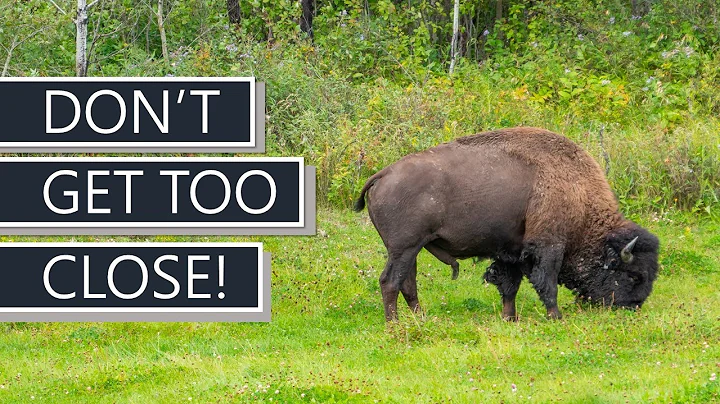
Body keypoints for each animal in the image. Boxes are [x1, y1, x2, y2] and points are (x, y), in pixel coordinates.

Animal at [353, 127, 659, 321]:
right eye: (633, 275)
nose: (633, 307)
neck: (578, 193)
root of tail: (382, 175)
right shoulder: (549, 245)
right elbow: (546, 283)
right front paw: (556, 317)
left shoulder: (511, 250)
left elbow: (510, 286)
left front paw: (509, 318)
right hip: (404, 248)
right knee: (390, 281)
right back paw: (394, 324)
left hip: (411, 250)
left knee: (408, 284)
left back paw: (422, 319)